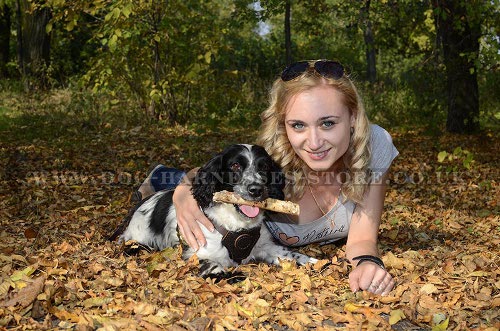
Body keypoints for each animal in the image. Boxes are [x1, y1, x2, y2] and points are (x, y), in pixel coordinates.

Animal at [117, 144, 316, 278]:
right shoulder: (197, 254)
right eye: (235, 166)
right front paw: (233, 276)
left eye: (264, 167)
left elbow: (292, 255)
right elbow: (215, 267)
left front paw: (313, 262)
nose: (256, 189)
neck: (237, 226)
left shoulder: (265, 246)